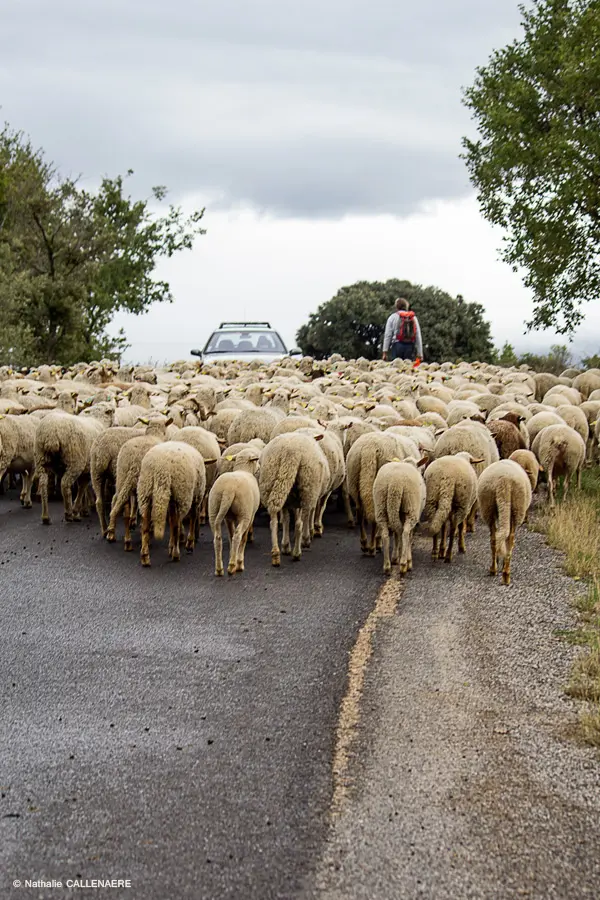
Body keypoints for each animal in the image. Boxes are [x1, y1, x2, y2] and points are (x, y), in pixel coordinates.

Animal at [137, 440, 206, 568]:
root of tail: (161, 467)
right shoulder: (195, 496)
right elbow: (190, 519)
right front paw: (188, 543)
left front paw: (171, 546)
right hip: (179, 493)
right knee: (176, 525)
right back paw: (176, 554)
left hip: (146, 490)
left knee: (145, 525)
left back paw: (145, 557)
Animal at [209, 448, 260, 576]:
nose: (259, 467)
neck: (243, 469)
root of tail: (229, 489)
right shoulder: (251, 516)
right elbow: (243, 538)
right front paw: (239, 562)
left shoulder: (228, 518)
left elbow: (230, 535)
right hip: (244, 513)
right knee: (238, 536)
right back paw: (233, 566)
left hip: (213, 509)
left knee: (217, 538)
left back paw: (219, 569)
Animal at [258, 432, 328, 568]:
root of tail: (290, 453)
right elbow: (301, 520)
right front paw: (305, 540)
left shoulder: (289, 500)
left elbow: (286, 520)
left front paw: (285, 546)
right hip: (307, 488)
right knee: (300, 523)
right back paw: (297, 552)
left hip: (271, 481)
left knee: (273, 520)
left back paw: (276, 554)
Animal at [476, 460, 532, 588]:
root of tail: (504, 481)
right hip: (515, 508)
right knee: (508, 539)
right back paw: (504, 574)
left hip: (491, 508)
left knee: (495, 538)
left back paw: (496, 570)